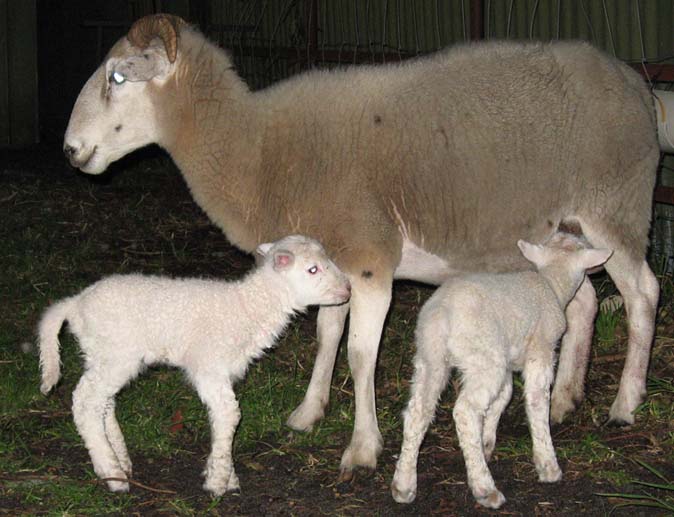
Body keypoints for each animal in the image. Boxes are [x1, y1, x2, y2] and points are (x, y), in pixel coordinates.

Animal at [38, 235, 351, 495]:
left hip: (101, 354)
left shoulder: (223, 373)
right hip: (115, 353)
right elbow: (230, 415)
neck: (249, 307)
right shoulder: (209, 366)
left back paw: (121, 459)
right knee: (85, 402)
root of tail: (75, 303)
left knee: (103, 402)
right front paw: (218, 483)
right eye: (313, 270)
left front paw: (224, 474)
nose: (347, 289)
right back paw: (112, 473)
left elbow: (219, 418)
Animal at [63, 13, 660, 478]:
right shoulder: (335, 261)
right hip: (565, 231)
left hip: (616, 206)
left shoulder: (371, 260)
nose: (70, 150)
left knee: (643, 295)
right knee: (582, 301)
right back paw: (565, 398)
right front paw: (309, 412)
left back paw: (624, 404)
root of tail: (635, 81)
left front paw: (363, 447)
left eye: (118, 76)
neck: (258, 149)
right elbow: (326, 335)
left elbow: (360, 352)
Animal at [391, 240, 612, 509]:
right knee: (465, 412)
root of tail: (443, 314)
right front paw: (548, 466)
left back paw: (404, 484)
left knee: (418, 411)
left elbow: (504, 396)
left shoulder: (507, 362)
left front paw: (486, 441)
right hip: (483, 356)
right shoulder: (541, 351)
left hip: (431, 356)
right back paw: (484, 488)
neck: (552, 283)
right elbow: (537, 402)